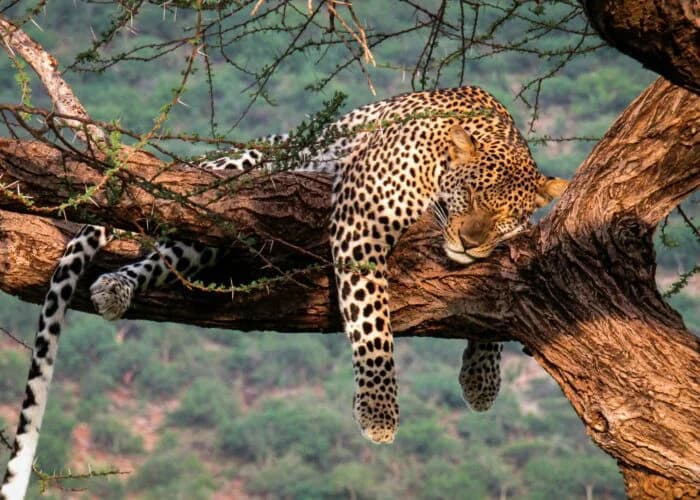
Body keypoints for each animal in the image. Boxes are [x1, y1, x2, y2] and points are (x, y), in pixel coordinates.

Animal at [1, 86, 567, 499]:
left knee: (172, 253)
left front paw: (481, 378)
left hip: (210, 238)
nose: (470, 241)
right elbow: (372, 321)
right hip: (233, 188)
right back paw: (117, 283)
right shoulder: (362, 220)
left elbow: (492, 304)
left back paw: (117, 287)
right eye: (469, 194)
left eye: (505, 216)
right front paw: (379, 411)